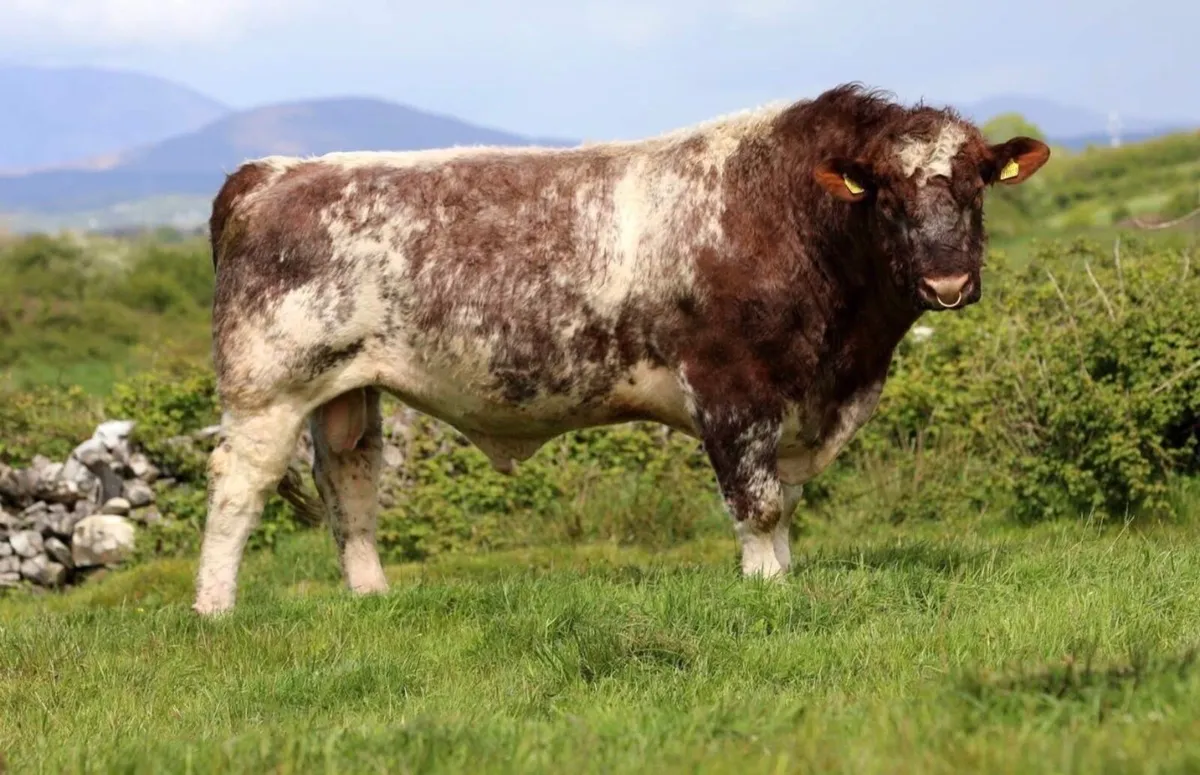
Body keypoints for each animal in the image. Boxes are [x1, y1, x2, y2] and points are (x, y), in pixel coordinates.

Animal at [193, 83, 1050, 616]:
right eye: (887, 194)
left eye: (976, 184)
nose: (947, 279)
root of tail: (271, 173)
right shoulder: (731, 389)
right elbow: (758, 501)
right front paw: (768, 590)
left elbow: (782, 500)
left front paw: (785, 573)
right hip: (266, 387)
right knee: (238, 487)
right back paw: (213, 610)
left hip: (346, 388)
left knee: (351, 485)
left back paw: (372, 597)